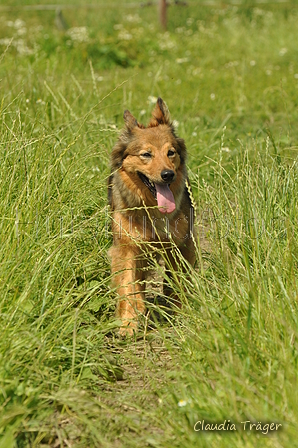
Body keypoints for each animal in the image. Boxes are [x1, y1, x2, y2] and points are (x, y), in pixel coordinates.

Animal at [108, 99, 197, 336]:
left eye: (171, 153)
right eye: (146, 154)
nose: (168, 175)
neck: (153, 210)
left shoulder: (180, 245)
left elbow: (177, 282)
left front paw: (180, 313)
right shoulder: (127, 247)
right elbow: (128, 285)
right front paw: (128, 323)